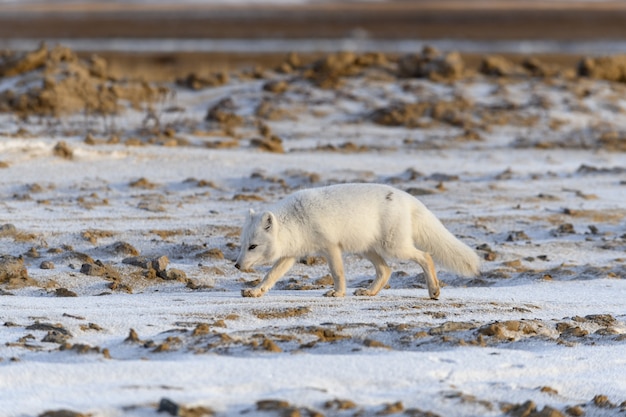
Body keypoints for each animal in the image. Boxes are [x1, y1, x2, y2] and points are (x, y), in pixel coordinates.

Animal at [234, 184, 478, 298]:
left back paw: (434, 290)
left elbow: (337, 272)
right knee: (386, 270)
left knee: (425, 256)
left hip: (394, 247)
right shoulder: (290, 255)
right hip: (367, 249)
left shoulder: (330, 246)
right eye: (243, 245)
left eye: (253, 246)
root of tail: (408, 198)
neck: (297, 220)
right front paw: (255, 291)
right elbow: (270, 275)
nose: (236, 265)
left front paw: (337, 293)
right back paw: (369, 292)